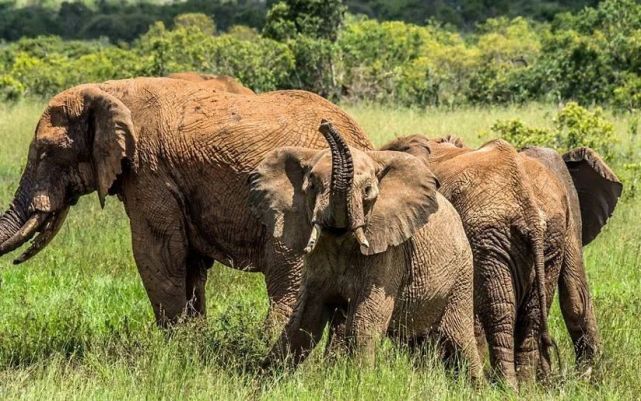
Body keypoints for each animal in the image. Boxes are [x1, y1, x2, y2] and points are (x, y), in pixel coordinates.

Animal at [0, 77, 373, 328]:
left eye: (47, 152)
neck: (110, 90)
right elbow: (190, 263)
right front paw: (193, 343)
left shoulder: (149, 171)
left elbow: (158, 253)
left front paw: (174, 351)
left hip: (298, 203)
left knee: (288, 282)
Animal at [249, 122, 482, 382]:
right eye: (311, 186)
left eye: (368, 191)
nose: (325, 124)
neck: (340, 237)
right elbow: (305, 319)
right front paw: (264, 380)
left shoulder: (389, 255)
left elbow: (365, 321)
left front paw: (359, 382)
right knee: (417, 341)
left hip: (461, 275)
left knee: (460, 338)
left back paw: (476, 386)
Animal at [381, 135, 622, 388]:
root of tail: (530, 211)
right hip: (545, 238)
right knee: (531, 315)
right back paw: (524, 386)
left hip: (491, 238)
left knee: (499, 312)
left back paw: (507, 386)